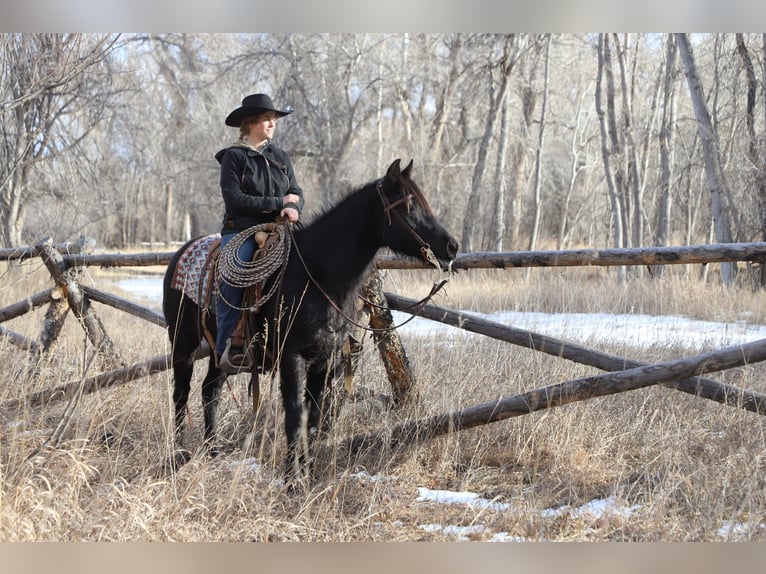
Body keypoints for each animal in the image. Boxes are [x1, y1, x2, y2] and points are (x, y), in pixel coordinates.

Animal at [162, 159, 459, 479]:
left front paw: (307, 474)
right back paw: (179, 453)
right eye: (409, 205)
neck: (316, 275)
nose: (451, 246)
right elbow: (294, 415)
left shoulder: (326, 361)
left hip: (221, 354)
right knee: (181, 393)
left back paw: (213, 452)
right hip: (182, 343)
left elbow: (313, 418)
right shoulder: (292, 357)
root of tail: (180, 253)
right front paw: (291, 478)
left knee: (210, 391)